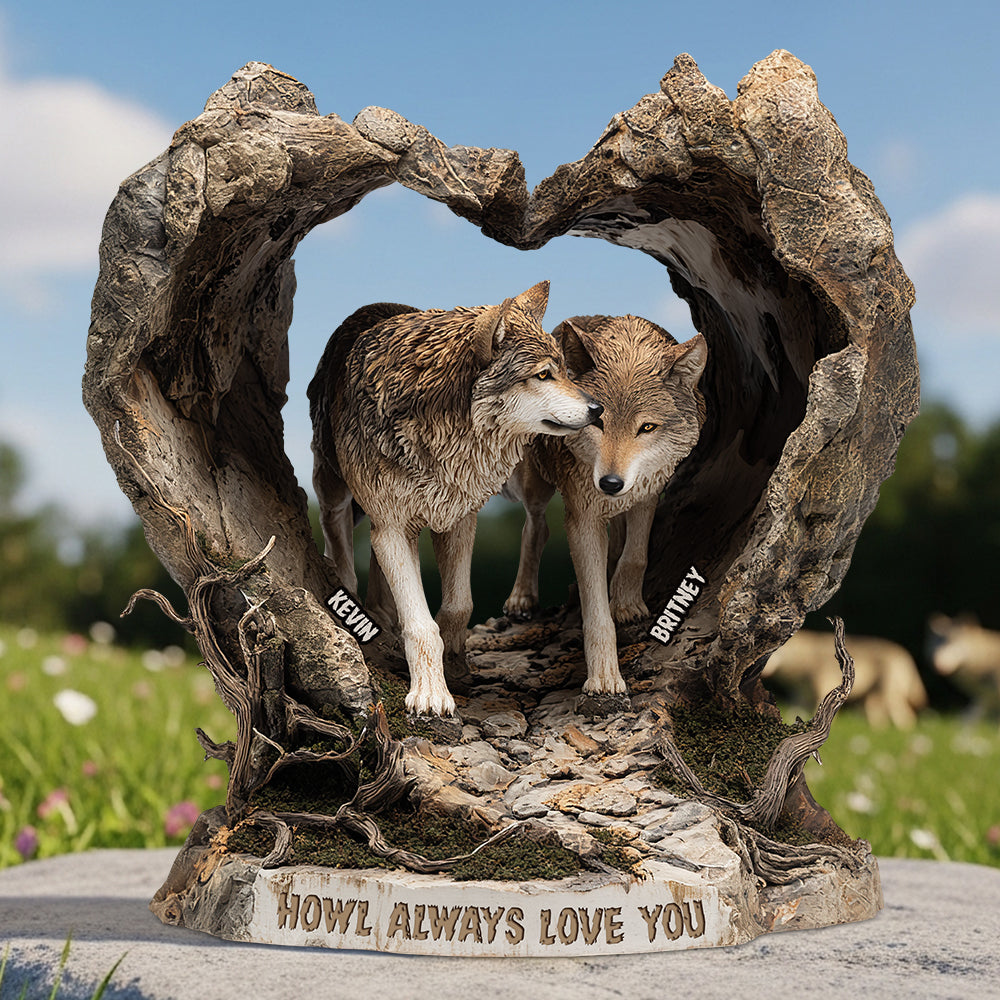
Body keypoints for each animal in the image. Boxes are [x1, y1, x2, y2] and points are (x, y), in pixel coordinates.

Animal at [308, 281, 603, 717]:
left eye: (565, 371)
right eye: (543, 375)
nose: (598, 410)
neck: (441, 438)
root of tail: (372, 306)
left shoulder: (458, 517)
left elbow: (457, 606)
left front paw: (456, 665)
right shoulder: (392, 525)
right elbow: (420, 623)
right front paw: (431, 695)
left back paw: (383, 611)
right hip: (334, 485)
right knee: (336, 531)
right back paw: (353, 594)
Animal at [502, 314, 707, 699]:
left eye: (647, 427)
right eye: (597, 420)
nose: (610, 483)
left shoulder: (647, 492)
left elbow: (636, 555)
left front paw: (626, 604)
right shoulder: (582, 518)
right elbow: (596, 611)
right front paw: (604, 679)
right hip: (535, 484)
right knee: (535, 526)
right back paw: (521, 598)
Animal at [762, 629, 928, 728]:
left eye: (776, 652)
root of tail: (905, 654)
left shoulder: (822, 689)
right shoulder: (800, 694)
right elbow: (793, 711)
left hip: (890, 696)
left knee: (906, 716)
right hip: (874, 699)